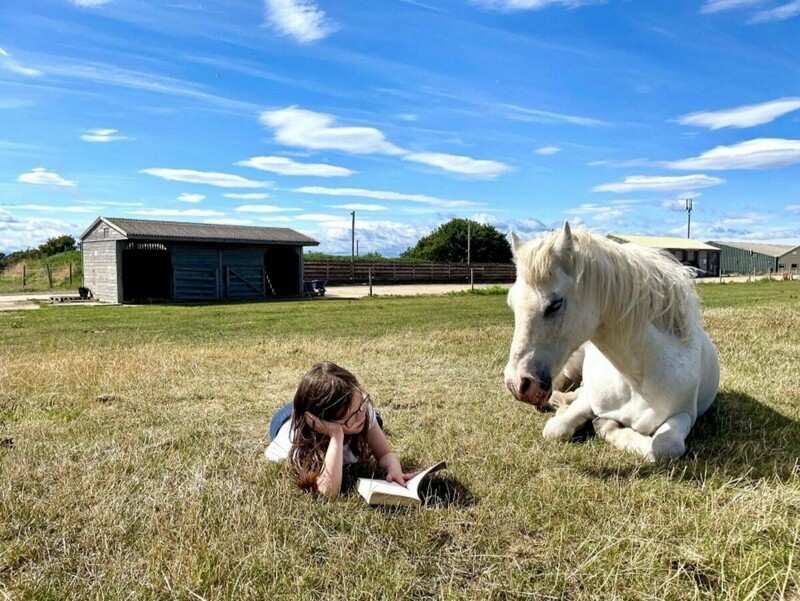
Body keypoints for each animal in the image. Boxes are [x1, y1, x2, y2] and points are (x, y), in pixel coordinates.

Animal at [506, 223, 720, 462]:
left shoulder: (683, 415)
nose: (517, 385)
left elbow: (666, 446)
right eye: (511, 302)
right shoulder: (589, 399)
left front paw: (604, 425)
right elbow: (555, 429)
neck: (636, 380)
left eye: (555, 304)